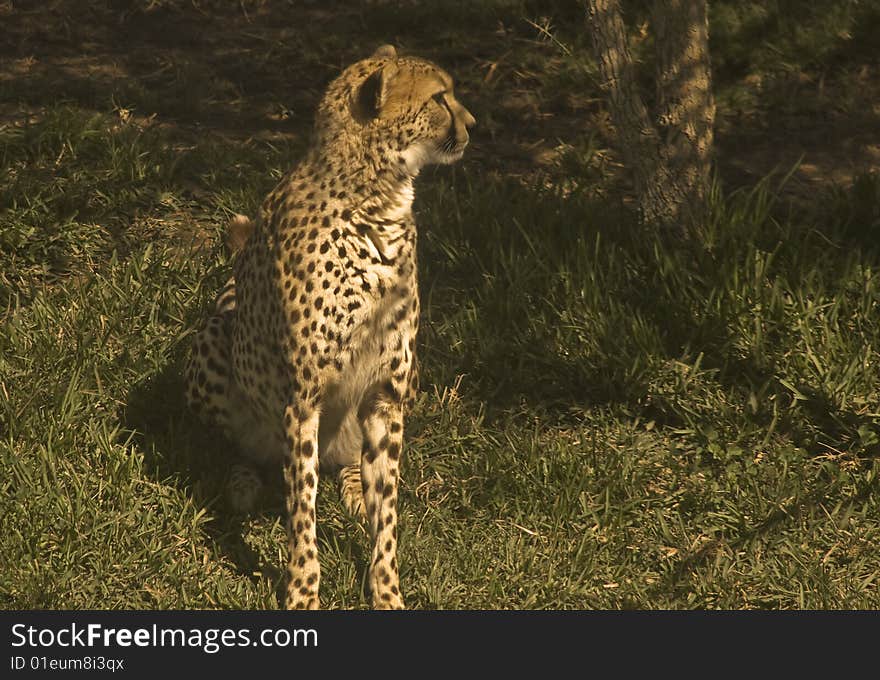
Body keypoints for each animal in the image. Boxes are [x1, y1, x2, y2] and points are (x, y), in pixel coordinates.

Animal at [184, 43, 474, 612]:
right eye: (439, 97)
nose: (472, 124)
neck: (376, 201)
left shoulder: (387, 392)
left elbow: (388, 514)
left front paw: (387, 593)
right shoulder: (302, 400)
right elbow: (302, 511)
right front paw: (302, 594)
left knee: (350, 465)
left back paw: (356, 485)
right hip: (215, 342)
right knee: (241, 447)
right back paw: (243, 482)